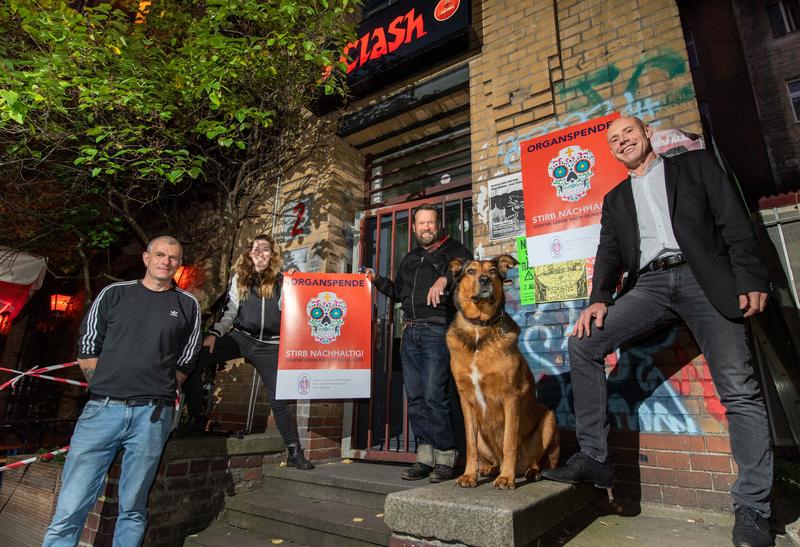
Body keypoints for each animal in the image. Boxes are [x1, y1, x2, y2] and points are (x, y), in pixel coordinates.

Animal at [446, 256, 560, 492]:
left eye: (492, 271)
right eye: (470, 271)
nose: (484, 280)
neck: (480, 327)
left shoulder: (511, 396)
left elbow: (509, 442)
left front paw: (506, 479)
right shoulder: (466, 400)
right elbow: (470, 446)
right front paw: (468, 475)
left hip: (548, 421)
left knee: (538, 460)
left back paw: (530, 472)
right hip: (484, 436)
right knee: (492, 457)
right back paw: (488, 469)